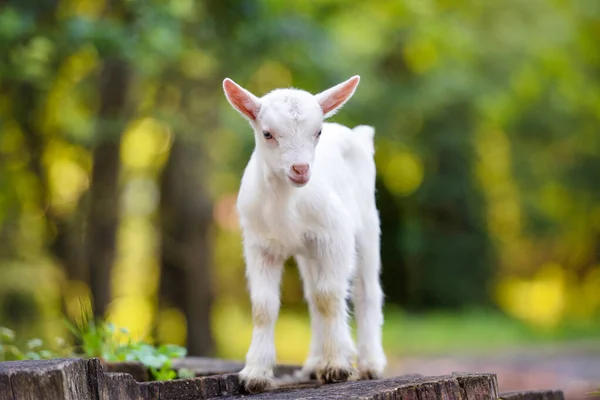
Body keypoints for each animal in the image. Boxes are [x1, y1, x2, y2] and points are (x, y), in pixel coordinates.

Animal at [223, 76, 386, 394]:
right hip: (308, 252)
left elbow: (329, 296)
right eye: (268, 133)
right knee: (311, 295)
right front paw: (255, 373)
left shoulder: (335, 236)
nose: (301, 169)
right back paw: (312, 364)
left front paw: (337, 366)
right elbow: (263, 306)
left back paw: (370, 364)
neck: (286, 203)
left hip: (368, 226)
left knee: (366, 291)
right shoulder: (259, 245)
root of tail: (359, 136)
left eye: (318, 131)